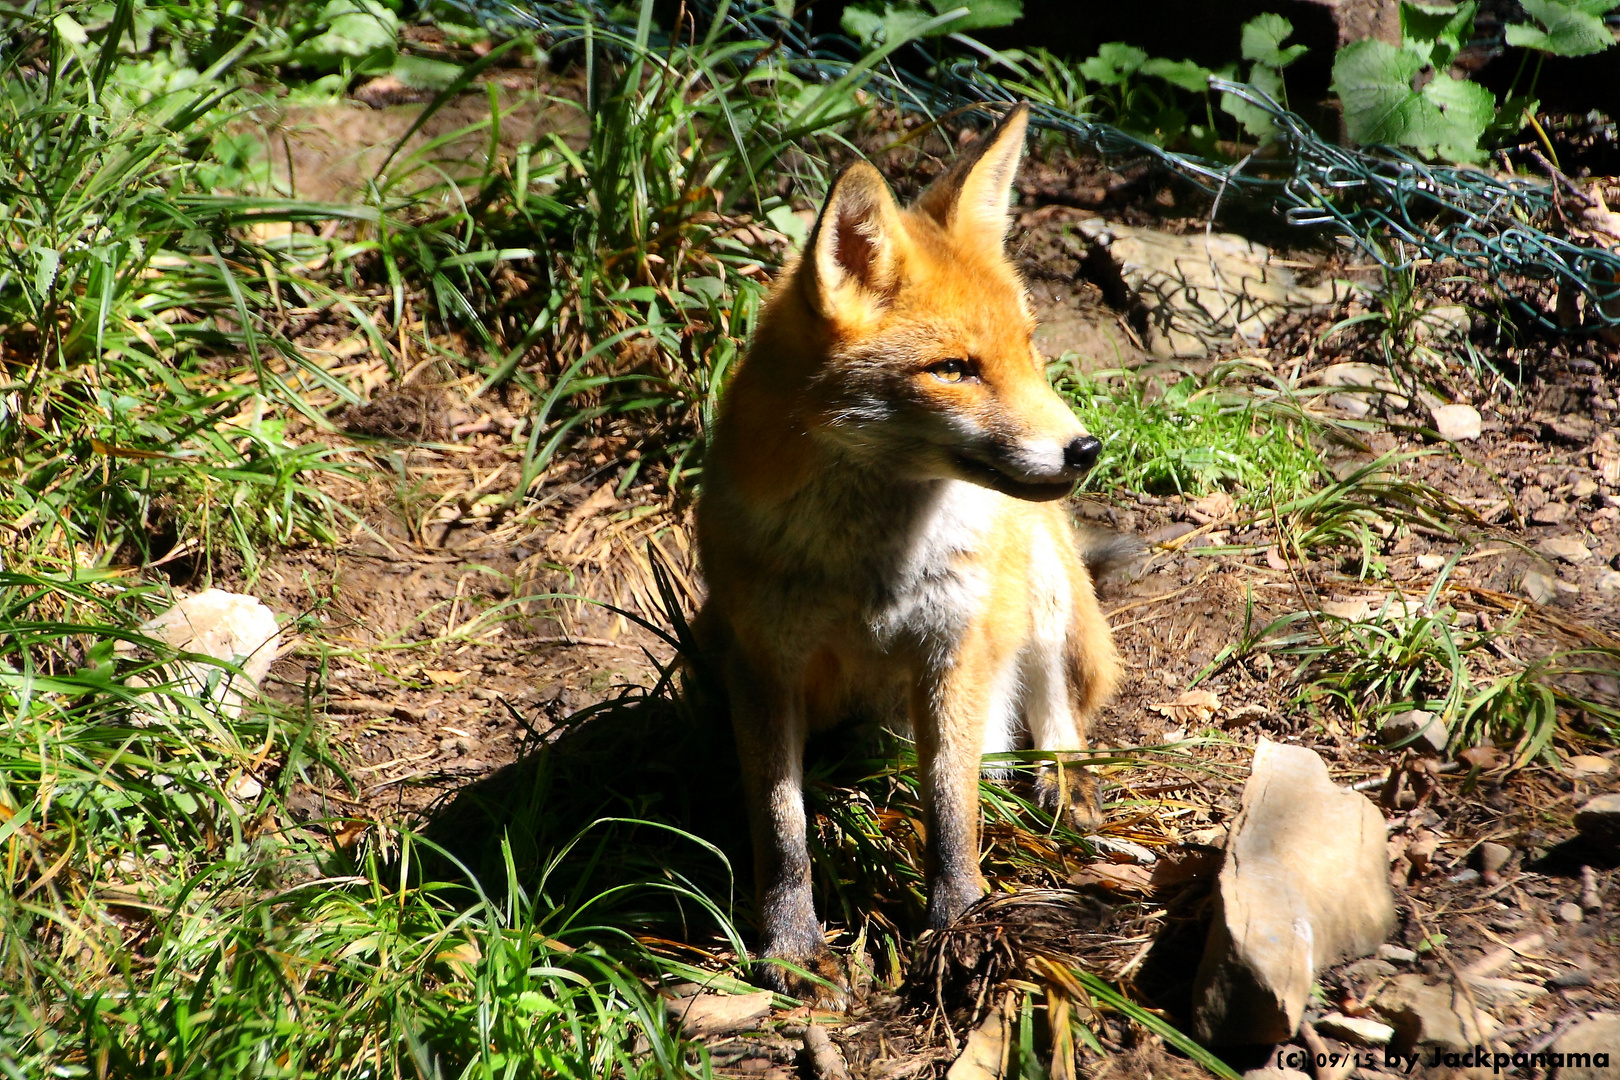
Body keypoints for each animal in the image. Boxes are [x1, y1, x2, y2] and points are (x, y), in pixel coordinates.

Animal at [690, 105, 1121, 1010]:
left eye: (1030, 344)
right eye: (954, 369)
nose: (1084, 450)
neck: (871, 573)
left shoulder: (951, 649)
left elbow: (951, 809)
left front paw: (960, 927)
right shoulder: (762, 664)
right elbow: (781, 828)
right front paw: (790, 947)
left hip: (1037, 582)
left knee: (1055, 702)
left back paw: (1061, 780)